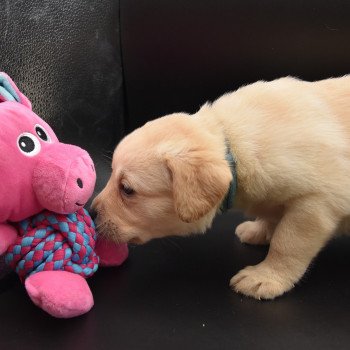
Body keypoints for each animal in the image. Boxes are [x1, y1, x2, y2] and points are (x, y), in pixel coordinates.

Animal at [92, 76, 350, 300]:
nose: (92, 212)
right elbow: (271, 215)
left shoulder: (316, 204)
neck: (231, 146)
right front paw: (259, 230)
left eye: (127, 189)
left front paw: (266, 277)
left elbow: (287, 243)